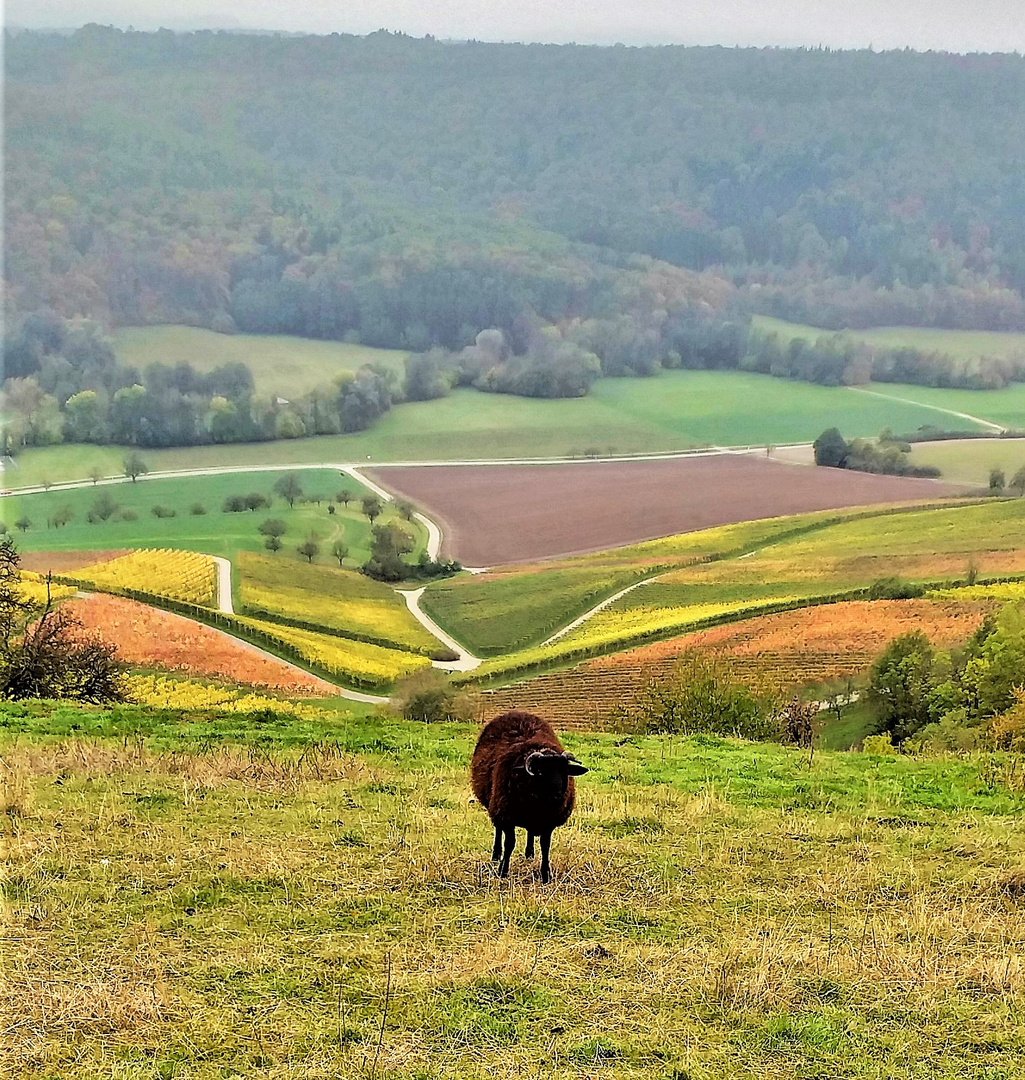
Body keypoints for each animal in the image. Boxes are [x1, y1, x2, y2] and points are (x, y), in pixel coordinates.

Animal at [470, 712, 587, 881]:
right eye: (540, 772)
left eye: (565, 772)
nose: (558, 795)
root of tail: (516, 713)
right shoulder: (507, 817)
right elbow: (510, 844)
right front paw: (502, 871)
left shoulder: (548, 822)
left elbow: (545, 846)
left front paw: (545, 874)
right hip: (496, 805)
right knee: (498, 830)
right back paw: (496, 855)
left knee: (530, 833)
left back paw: (529, 854)